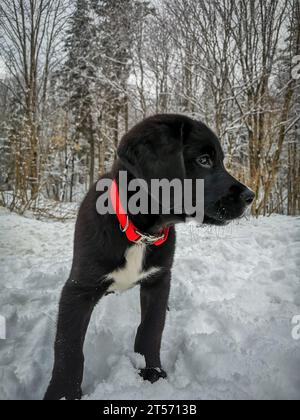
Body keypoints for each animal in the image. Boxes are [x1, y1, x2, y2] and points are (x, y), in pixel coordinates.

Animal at [44, 114, 254, 400]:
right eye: (204, 160)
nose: (251, 196)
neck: (141, 233)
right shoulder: (78, 288)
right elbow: (68, 346)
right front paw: (63, 392)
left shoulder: (159, 280)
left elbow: (151, 329)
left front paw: (151, 372)